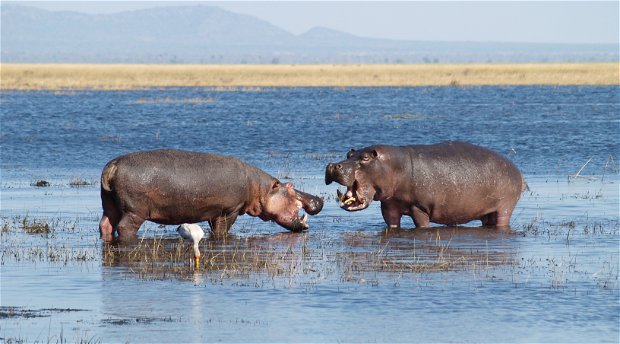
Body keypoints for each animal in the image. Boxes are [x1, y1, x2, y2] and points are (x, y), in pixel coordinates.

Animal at [98, 149, 322, 241]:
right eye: (291, 186)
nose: (319, 199)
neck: (260, 188)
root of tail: (113, 166)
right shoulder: (229, 211)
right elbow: (222, 230)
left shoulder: (214, 212)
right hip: (135, 211)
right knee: (124, 227)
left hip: (109, 204)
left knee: (106, 224)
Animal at [326, 141, 524, 230]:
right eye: (349, 153)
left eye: (366, 157)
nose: (333, 165)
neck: (394, 166)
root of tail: (516, 169)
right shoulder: (389, 206)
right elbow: (392, 223)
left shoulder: (419, 207)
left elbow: (421, 225)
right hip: (486, 212)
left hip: (505, 207)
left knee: (502, 220)